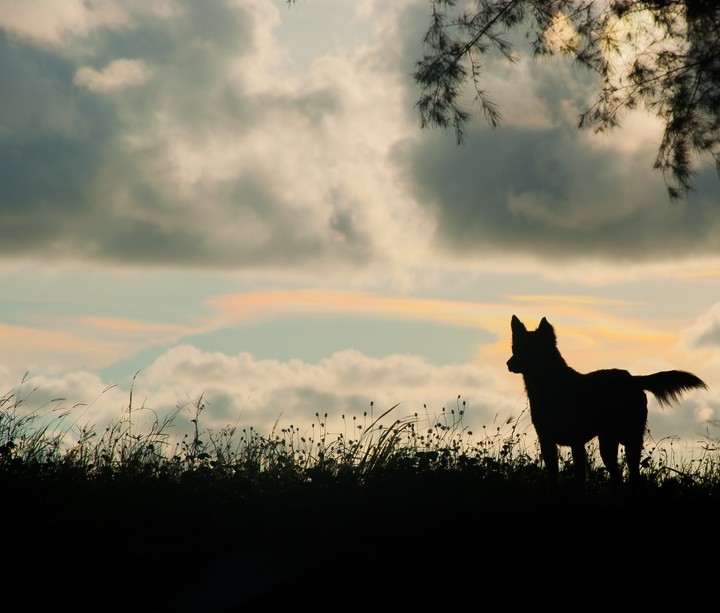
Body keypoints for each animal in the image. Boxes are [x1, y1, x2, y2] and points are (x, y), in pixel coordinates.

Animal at [506, 315, 707, 490]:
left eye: (530, 349)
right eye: (515, 348)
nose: (508, 364)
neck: (548, 386)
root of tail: (632, 379)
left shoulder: (576, 442)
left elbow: (580, 480)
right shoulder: (547, 442)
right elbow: (553, 478)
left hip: (630, 438)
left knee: (633, 477)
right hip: (609, 442)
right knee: (617, 477)